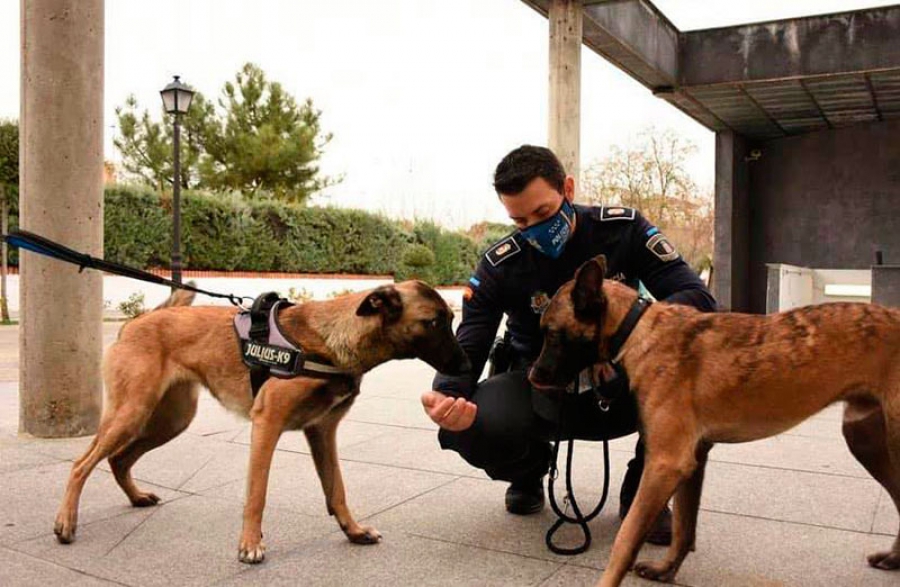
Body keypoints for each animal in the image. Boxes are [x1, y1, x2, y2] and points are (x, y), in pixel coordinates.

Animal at [54, 280, 472, 564]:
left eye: (451, 319)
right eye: (434, 322)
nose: (468, 365)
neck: (329, 341)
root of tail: (139, 320)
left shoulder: (322, 432)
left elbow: (337, 489)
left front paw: (352, 530)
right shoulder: (267, 425)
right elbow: (257, 494)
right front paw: (250, 545)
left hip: (170, 420)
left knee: (118, 459)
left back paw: (136, 496)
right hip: (132, 413)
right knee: (81, 463)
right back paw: (65, 523)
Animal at [528, 256, 900, 587]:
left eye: (552, 333)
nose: (532, 377)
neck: (637, 328)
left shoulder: (666, 464)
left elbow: (626, 539)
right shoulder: (693, 460)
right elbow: (683, 527)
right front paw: (667, 570)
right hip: (865, 439)